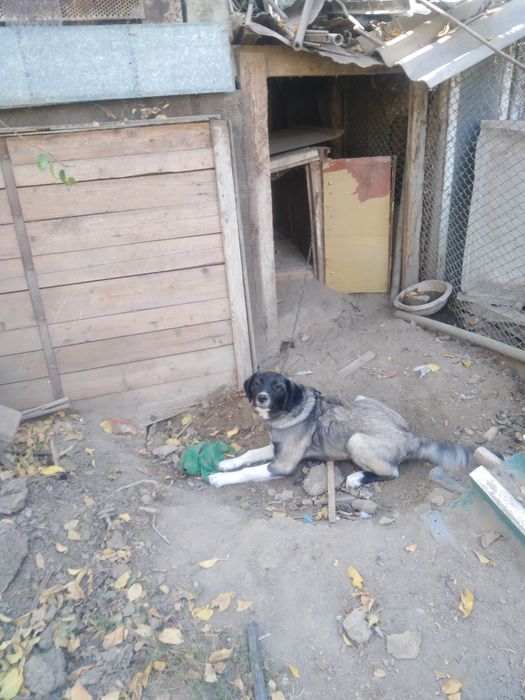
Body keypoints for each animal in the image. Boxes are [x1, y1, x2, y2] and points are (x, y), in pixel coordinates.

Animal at [207, 371, 472, 488]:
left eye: (278, 387)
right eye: (257, 382)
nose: (261, 398)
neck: (290, 410)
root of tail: (409, 437)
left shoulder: (283, 464)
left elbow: (248, 472)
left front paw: (220, 478)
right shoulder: (277, 448)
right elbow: (250, 454)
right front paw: (227, 463)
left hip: (356, 441)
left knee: (392, 472)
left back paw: (358, 477)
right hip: (361, 399)